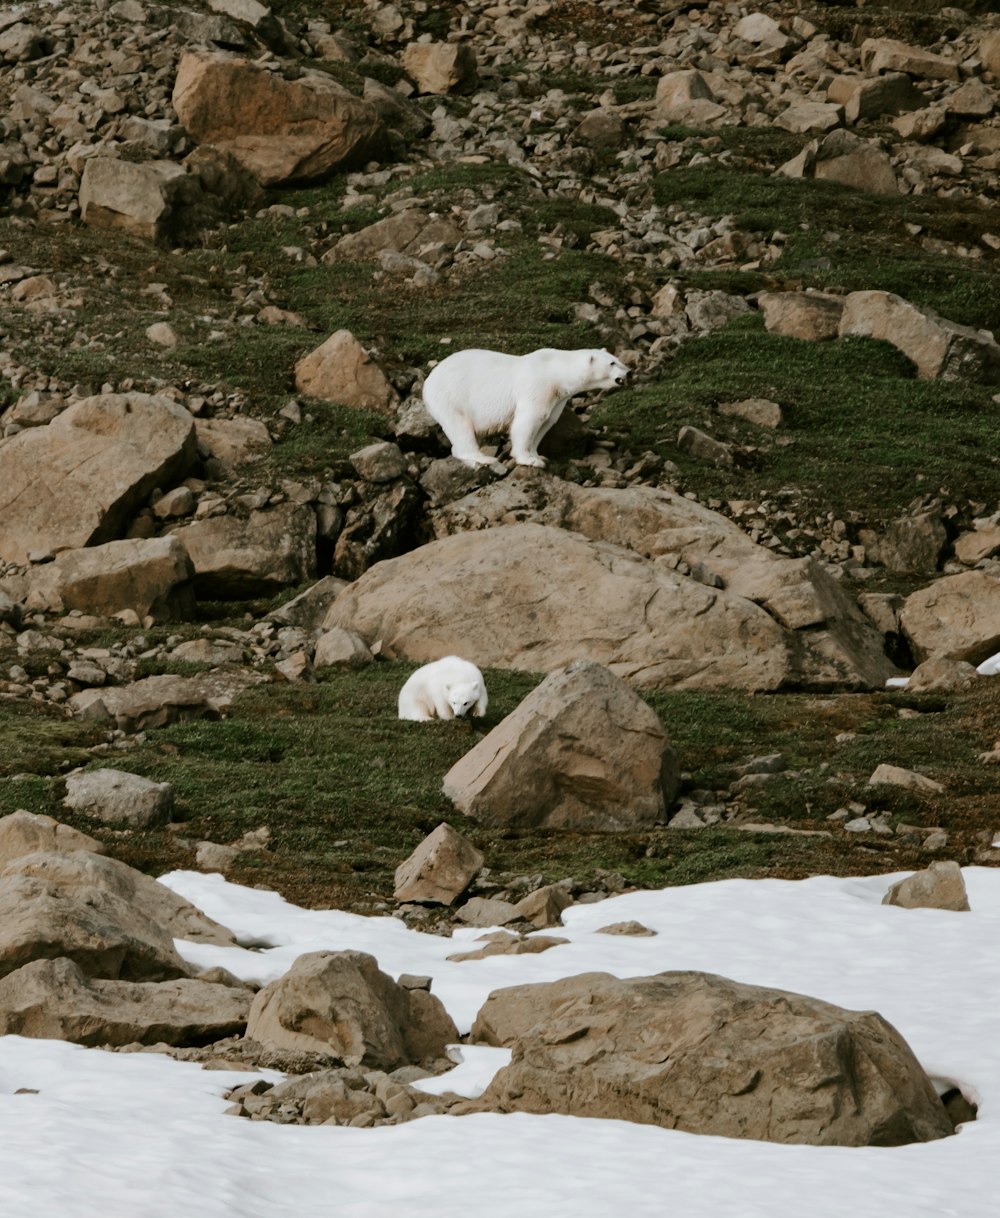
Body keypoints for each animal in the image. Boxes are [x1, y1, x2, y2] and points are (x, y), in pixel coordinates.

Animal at [423, 350, 628, 472]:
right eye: (612, 363)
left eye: (619, 360)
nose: (629, 372)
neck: (555, 370)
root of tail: (427, 382)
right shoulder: (537, 386)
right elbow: (528, 421)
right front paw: (529, 460)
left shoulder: (557, 398)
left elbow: (546, 422)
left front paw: (538, 456)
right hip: (451, 397)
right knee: (460, 426)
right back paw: (483, 459)